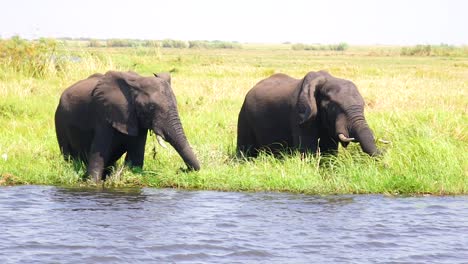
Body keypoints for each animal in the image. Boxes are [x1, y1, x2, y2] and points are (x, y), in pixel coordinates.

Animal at [54, 70, 201, 182]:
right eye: (151, 107)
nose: (182, 169)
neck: (137, 82)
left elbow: (135, 158)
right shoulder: (104, 114)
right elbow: (98, 156)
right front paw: (91, 182)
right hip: (60, 120)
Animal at [238, 69, 380, 159]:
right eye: (335, 107)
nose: (382, 159)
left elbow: (329, 149)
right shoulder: (300, 113)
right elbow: (308, 149)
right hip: (244, 114)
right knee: (245, 149)